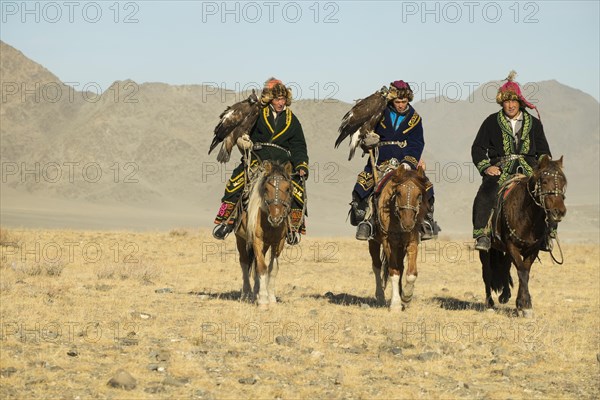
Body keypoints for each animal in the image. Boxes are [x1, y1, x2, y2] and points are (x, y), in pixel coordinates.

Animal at [234, 159, 292, 306]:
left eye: (287, 188)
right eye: (266, 189)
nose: (276, 218)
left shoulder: (279, 242)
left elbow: (272, 268)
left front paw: (270, 297)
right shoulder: (256, 240)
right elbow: (261, 267)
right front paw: (263, 300)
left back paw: (255, 293)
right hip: (240, 239)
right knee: (244, 263)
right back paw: (246, 294)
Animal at [368, 164, 428, 310]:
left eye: (419, 195)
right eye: (399, 193)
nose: (408, 223)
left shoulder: (412, 241)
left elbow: (411, 273)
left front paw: (406, 297)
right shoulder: (388, 242)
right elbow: (393, 271)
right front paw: (395, 304)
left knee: (401, 267)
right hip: (374, 242)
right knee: (377, 266)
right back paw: (380, 297)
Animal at [480, 155, 564, 318]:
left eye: (564, 182)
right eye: (544, 181)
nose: (559, 212)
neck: (527, 216)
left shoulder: (533, 249)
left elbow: (525, 271)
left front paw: (522, 304)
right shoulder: (512, 246)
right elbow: (522, 271)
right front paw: (525, 305)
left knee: (505, 266)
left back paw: (505, 295)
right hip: (487, 249)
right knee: (486, 271)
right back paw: (489, 303)